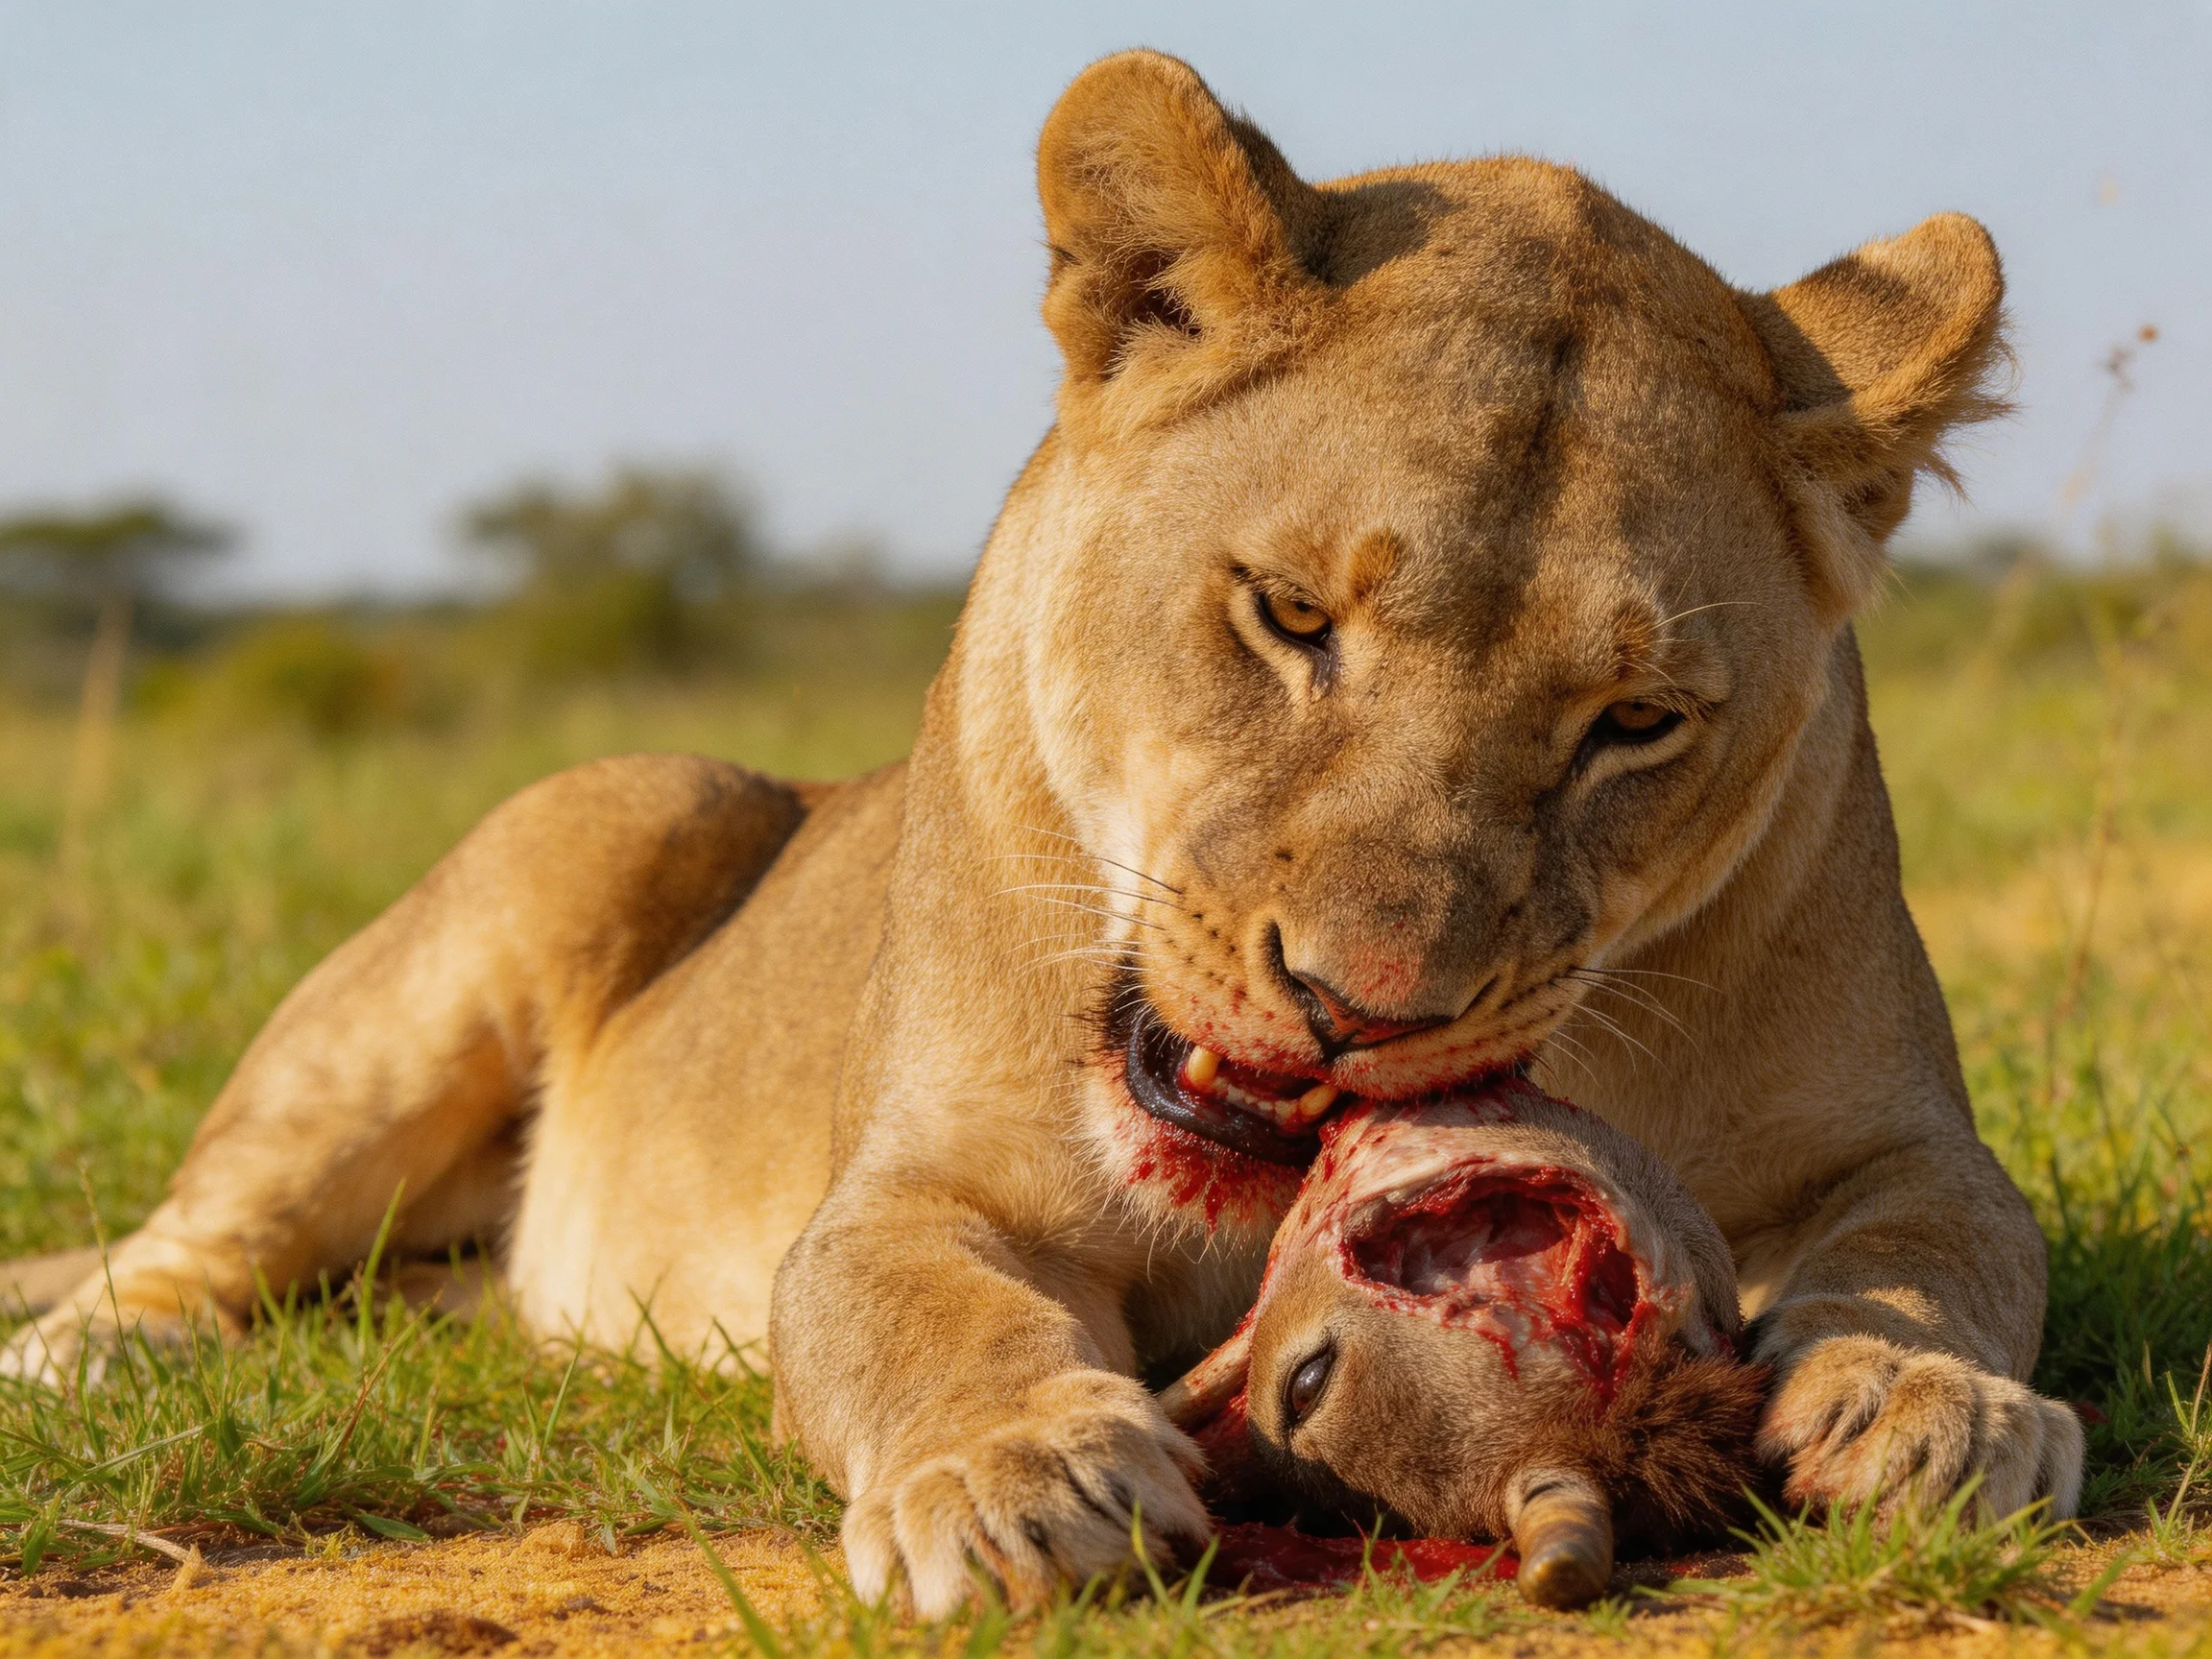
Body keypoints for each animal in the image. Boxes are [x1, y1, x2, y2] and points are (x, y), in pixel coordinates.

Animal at [5, 50, 2081, 1616]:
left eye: (1632, 722)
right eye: (1289, 616)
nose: (1363, 1008)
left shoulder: (1904, 1129)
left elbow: (1949, 1241)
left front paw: (1924, 1400)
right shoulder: (911, 1191)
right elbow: (928, 1316)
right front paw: (1018, 1473)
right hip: (597, 826)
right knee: (198, 1239)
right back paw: (82, 1352)